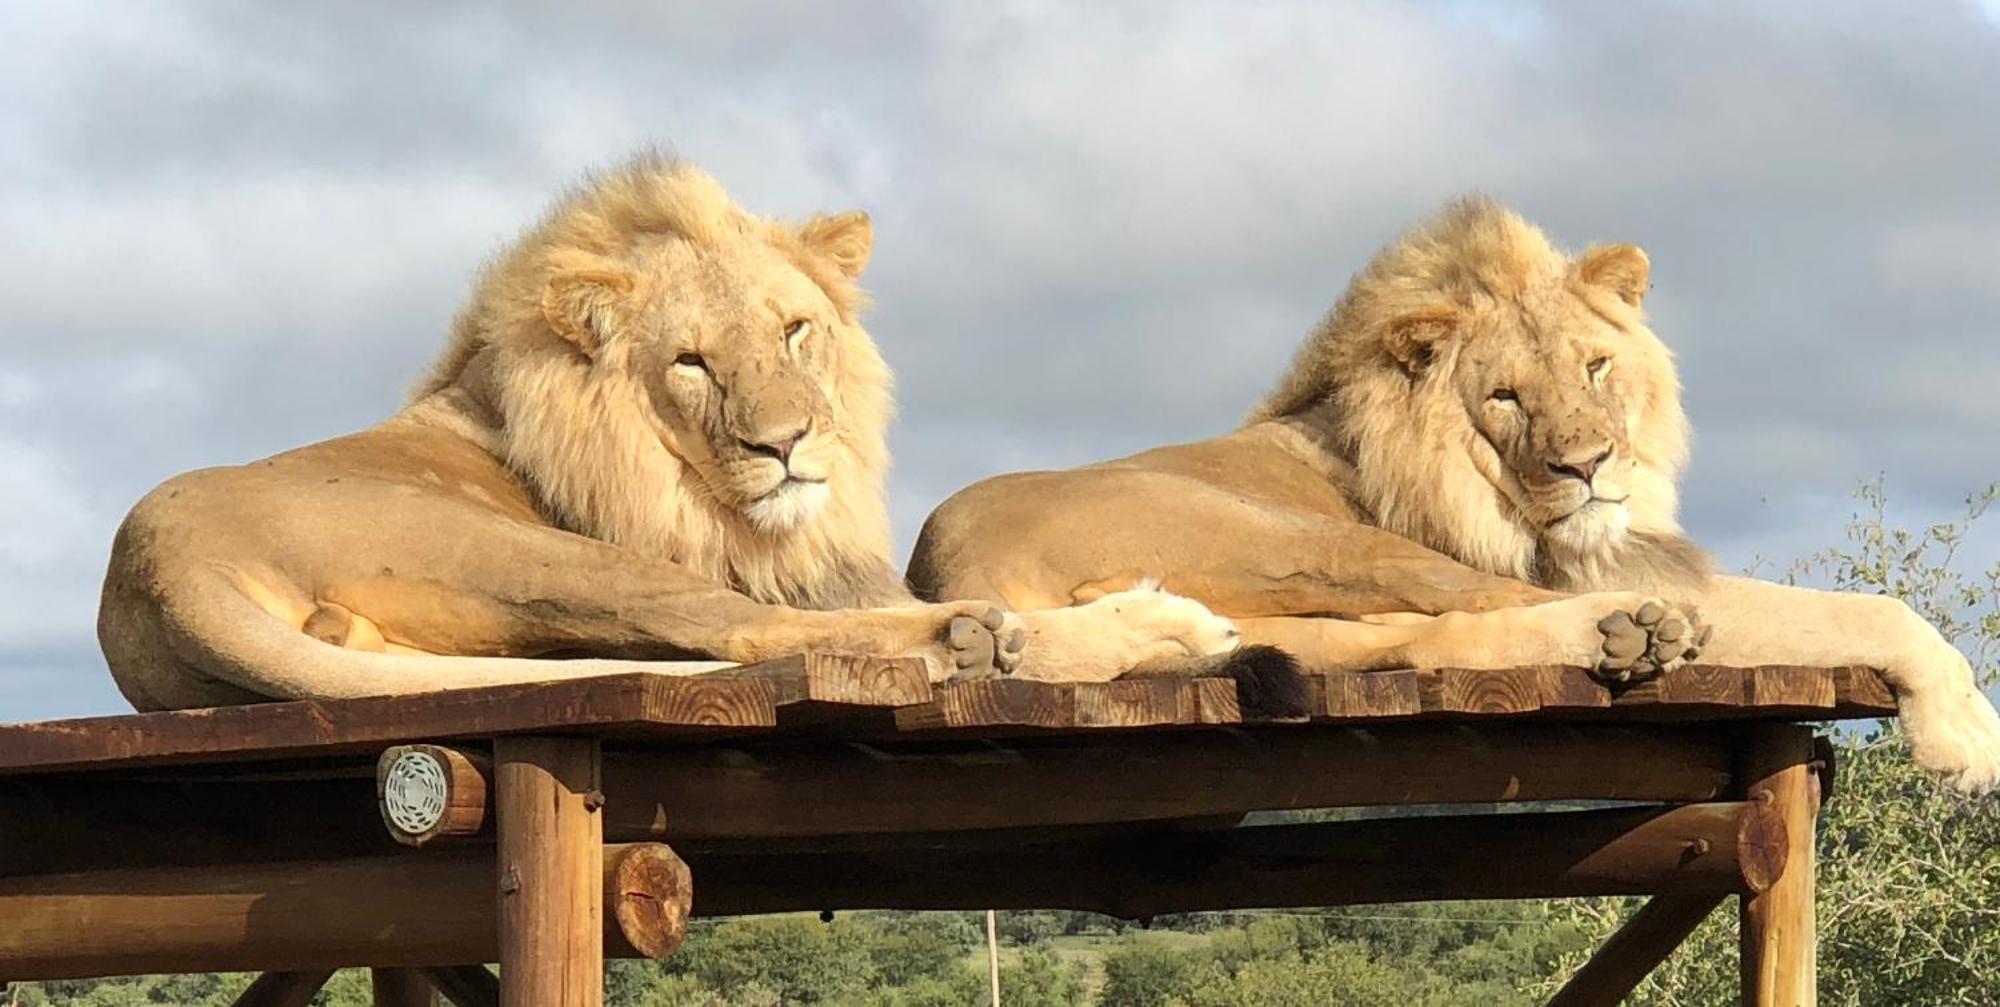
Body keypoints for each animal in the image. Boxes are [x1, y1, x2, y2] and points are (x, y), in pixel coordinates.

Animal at [101, 153, 1256, 711]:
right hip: (544, 555)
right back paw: (1032, 633)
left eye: (794, 330)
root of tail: (154, 566)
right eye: (692, 363)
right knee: (757, 635)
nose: (786, 444)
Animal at [916, 196, 2000, 795]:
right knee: (1491, 607)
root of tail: (946, 569)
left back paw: (1619, 635)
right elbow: (1868, 611)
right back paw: (1639, 630)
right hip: (1303, 542)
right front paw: (1965, 742)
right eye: (1506, 397)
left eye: (1595, 365)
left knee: (1436, 639)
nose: (1588, 464)